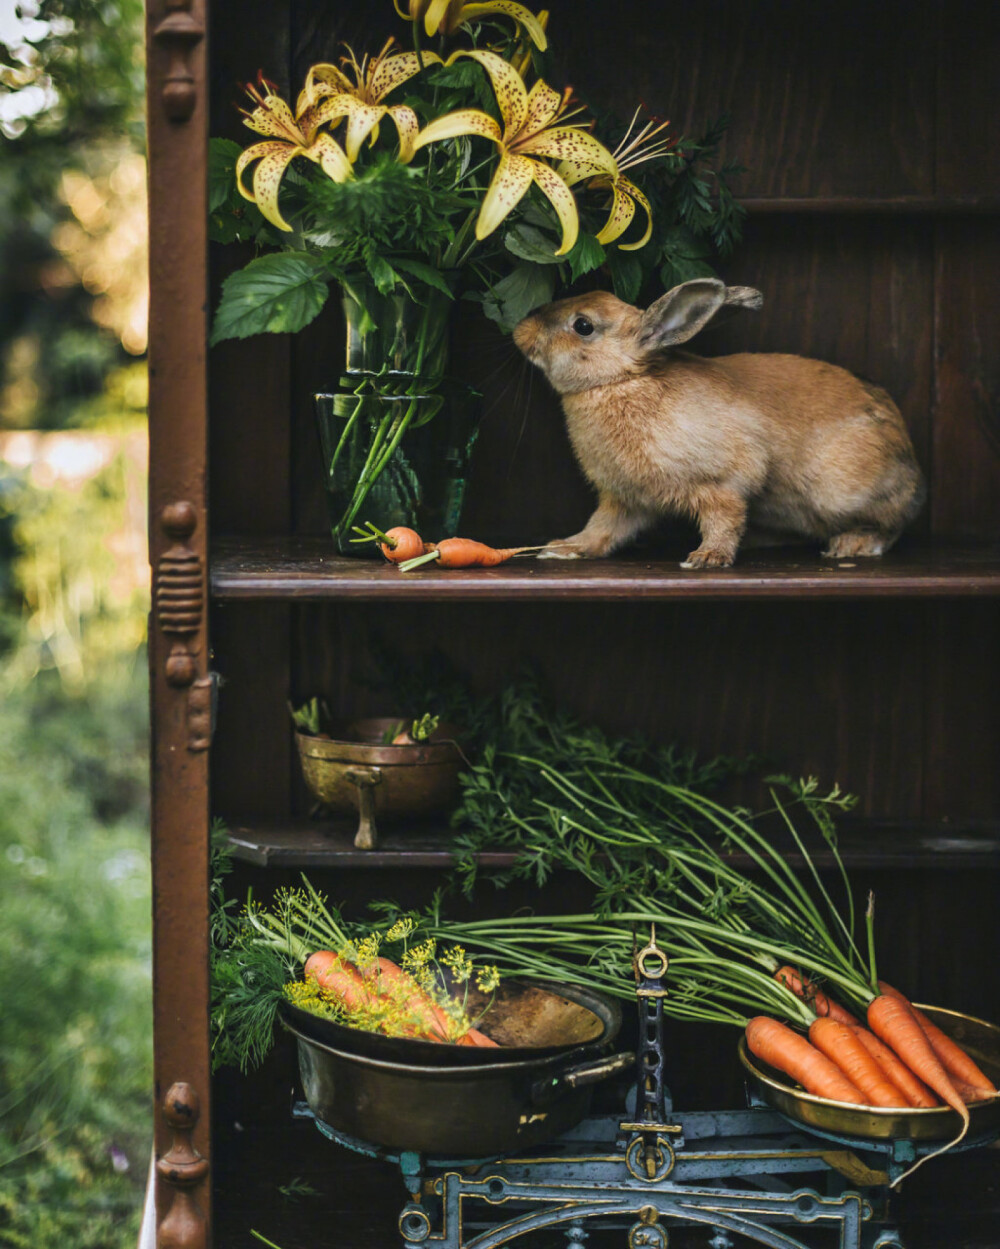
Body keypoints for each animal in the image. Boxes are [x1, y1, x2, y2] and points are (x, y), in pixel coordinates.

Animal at [511, 281, 923, 569]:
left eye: (583, 325)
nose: (520, 329)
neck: (622, 381)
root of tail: (910, 459)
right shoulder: (624, 498)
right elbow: (602, 529)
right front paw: (564, 548)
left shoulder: (723, 481)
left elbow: (724, 517)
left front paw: (706, 558)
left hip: (842, 492)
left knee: (895, 522)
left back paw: (853, 545)